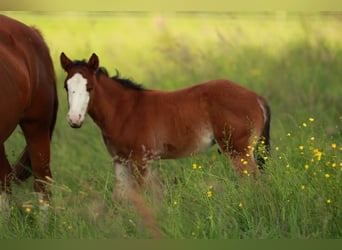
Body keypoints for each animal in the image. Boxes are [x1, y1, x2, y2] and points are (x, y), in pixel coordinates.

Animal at [60, 53, 270, 238]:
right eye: (66, 87)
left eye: (90, 87)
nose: (74, 119)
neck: (124, 111)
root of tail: (257, 97)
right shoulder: (121, 160)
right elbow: (122, 199)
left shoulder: (140, 160)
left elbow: (140, 197)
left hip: (238, 151)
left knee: (254, 183)